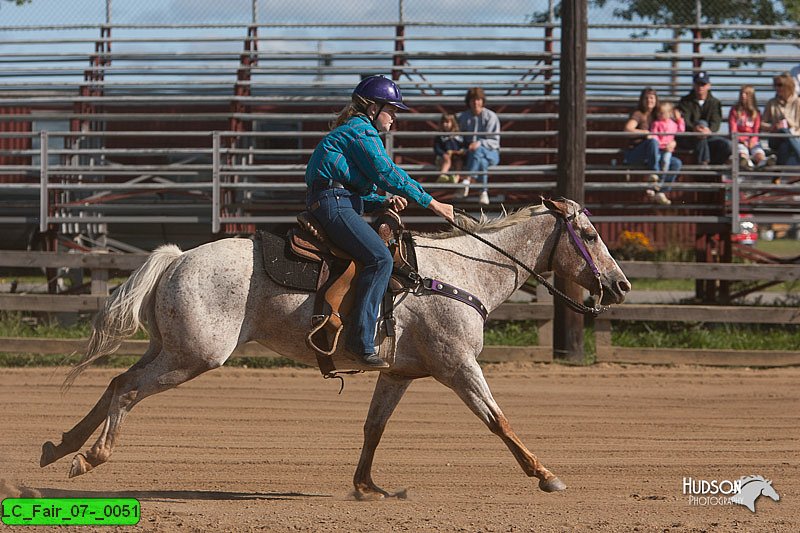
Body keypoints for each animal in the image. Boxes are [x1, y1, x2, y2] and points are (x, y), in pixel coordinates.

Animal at [40, 197, 632, 496]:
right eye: (592, 235)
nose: (621, 285)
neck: (460, 274)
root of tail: (178, 258)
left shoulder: (398, 373)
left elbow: (373, 428)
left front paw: (366, 485)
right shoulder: (458, 365)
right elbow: (499, 420)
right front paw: (546, 475)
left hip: (169, 348)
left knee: (115, 382)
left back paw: (60, 447)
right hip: (193, 357)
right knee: (126, 390)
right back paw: (88, 458)